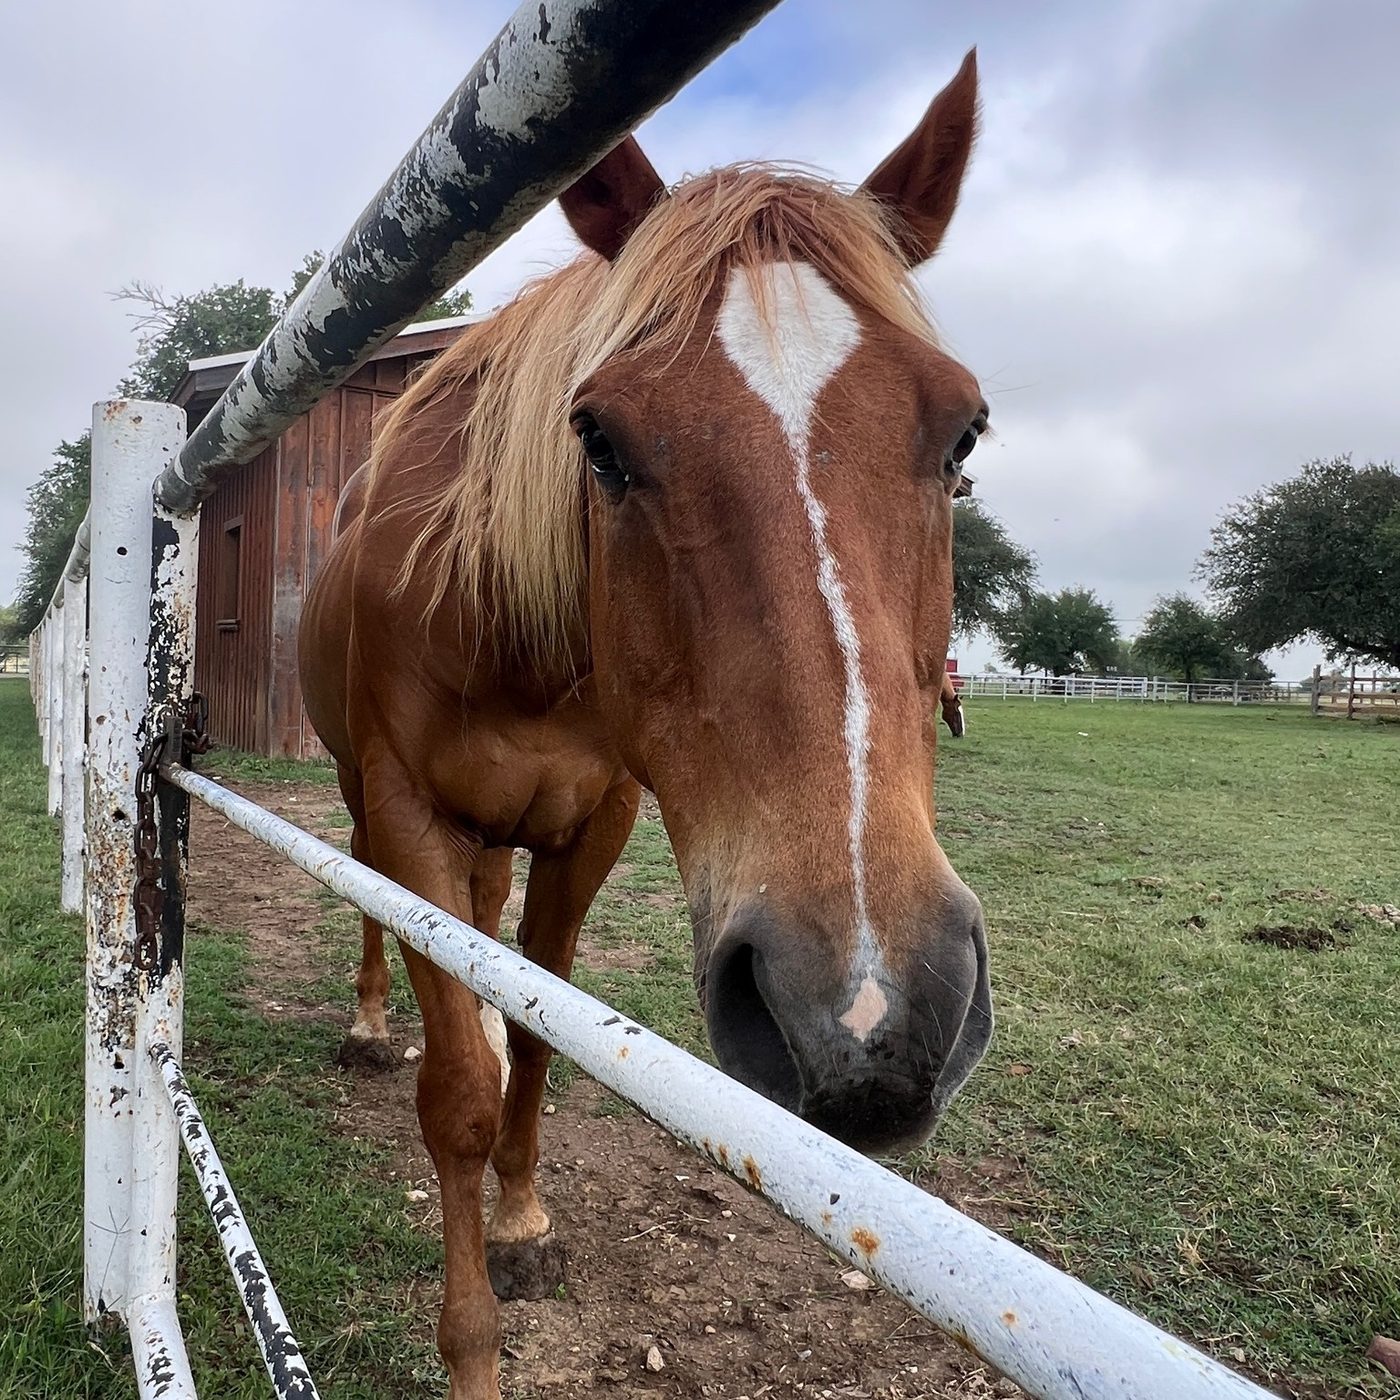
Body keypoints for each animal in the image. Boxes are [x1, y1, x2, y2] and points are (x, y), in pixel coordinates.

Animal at [299, 51, 992, 1400]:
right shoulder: (406, 810)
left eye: (962, 433)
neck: (506, 627)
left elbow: (535, 1030)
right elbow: (458, 1090)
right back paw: (364, 1021)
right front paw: (472, 1343)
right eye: (599, 439)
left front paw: (522, 1218)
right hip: (368, 803)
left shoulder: (593, 823)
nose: (866, 1016)